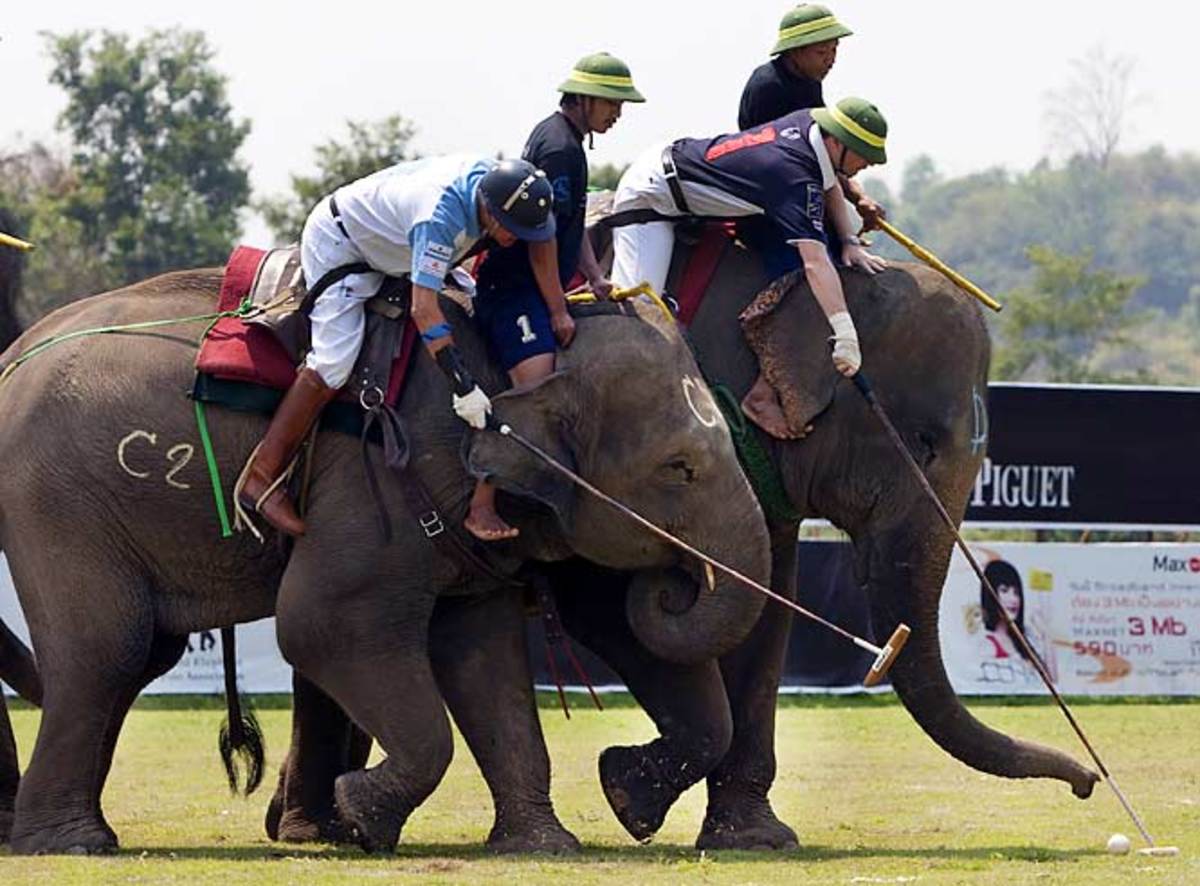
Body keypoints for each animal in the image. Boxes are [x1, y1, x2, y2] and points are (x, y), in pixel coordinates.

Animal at [0, 264, 772, 854]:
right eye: (679, 468)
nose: (674, 583)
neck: (497, 352)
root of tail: (14, 356)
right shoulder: (378, 475)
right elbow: (322, 624)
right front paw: (362, 818)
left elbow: (482, 654)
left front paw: (550, 842)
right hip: (60, 501)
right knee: (109, 651)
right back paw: (73, 844)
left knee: (135, 658)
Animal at [270, 237, 1101, 852]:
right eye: (925, 442)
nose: (1089, 783)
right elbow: (610, 603)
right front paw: (634, 796)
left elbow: (770, 603)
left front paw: (750, 837)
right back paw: (321, 826)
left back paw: (310, 825)